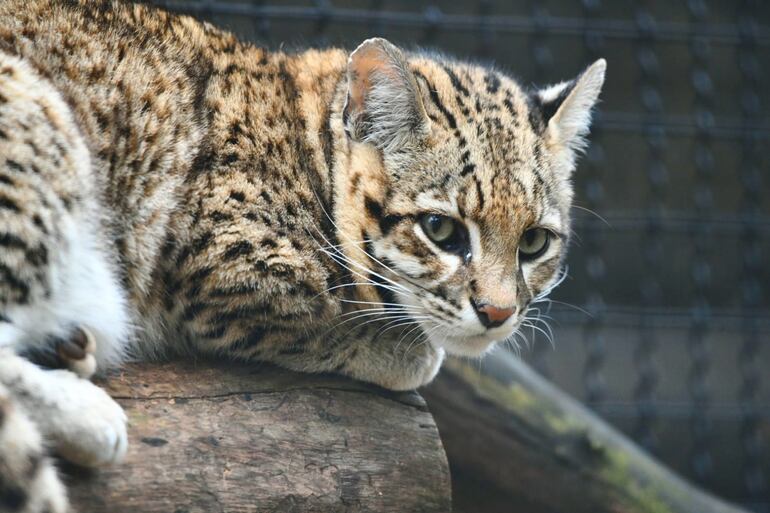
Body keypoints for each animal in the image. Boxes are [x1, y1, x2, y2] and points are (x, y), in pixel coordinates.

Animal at [0, 0, 604, 508]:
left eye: (534, 242)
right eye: (441, 230)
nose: (499, 314)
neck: (306, 140)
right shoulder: (217, 259)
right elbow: (326, 312)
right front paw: (406, 350)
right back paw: (87, 415)